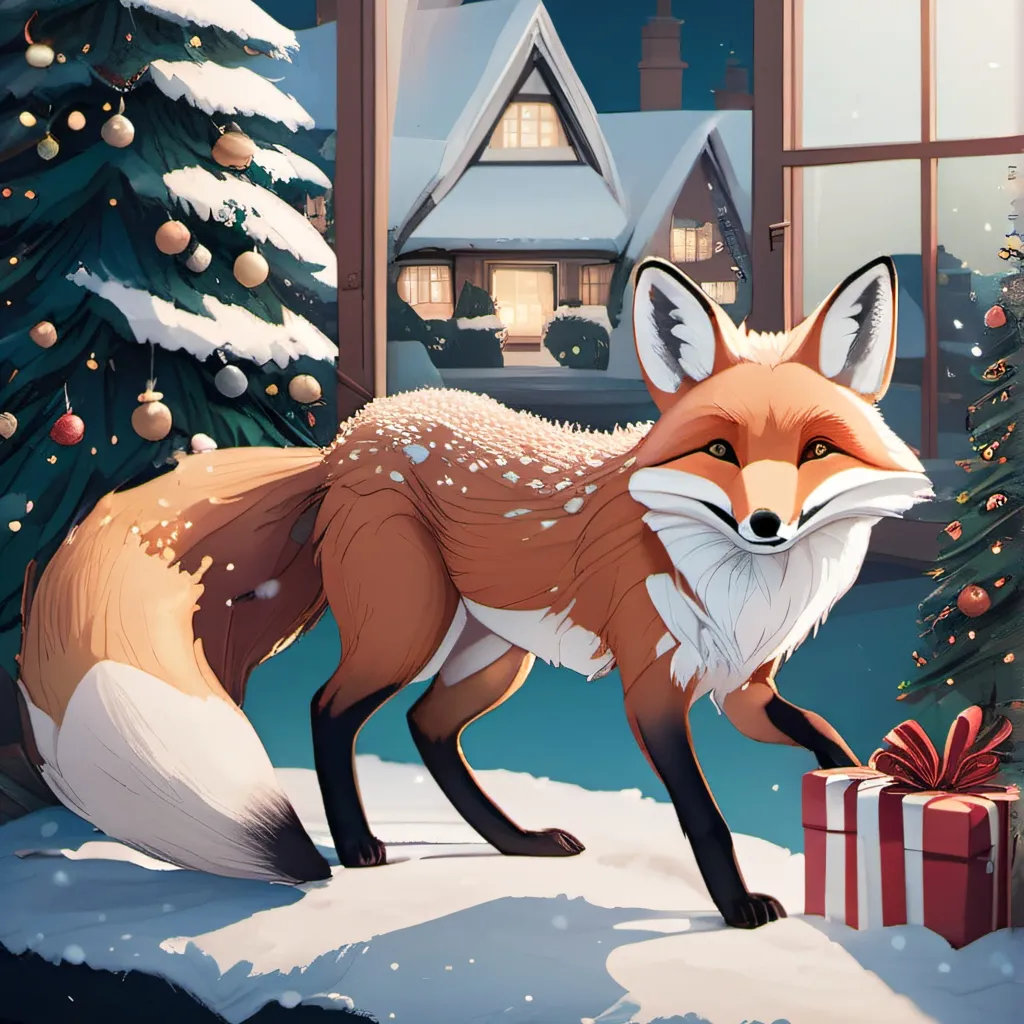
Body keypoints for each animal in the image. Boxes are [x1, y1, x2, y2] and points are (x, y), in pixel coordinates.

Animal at [14, 254, 932, 928]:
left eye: (816, 450)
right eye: (719, 450)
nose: (767, 524)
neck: (735, 579)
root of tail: (346, 440)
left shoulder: (742, 686)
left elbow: (821, 733)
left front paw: (863, 795)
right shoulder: (653, 686)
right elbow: (703, 814)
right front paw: (737, 906)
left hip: (494, 653)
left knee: (428, 727)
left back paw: (515, 842)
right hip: (409, 629)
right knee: (329, 710)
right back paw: (356, 846)